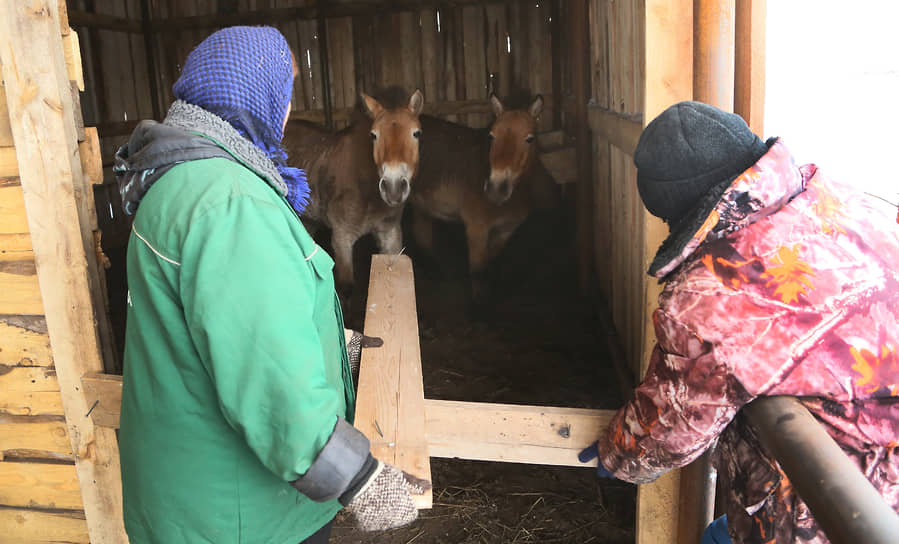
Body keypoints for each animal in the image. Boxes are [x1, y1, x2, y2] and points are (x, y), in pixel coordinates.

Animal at [284, 87, 426, 304]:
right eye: (374, 135)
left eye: (416, 133)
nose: (393, 187)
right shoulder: (342, 240)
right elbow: (346, 289)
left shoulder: (390, 234)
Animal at [412, 91, 560, 300]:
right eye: (491, 136)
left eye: (529, 139)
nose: (496, 188)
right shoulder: (477, 229)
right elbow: (478, 272)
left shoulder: (505, 231)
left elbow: (490, 265)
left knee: (421, 232)